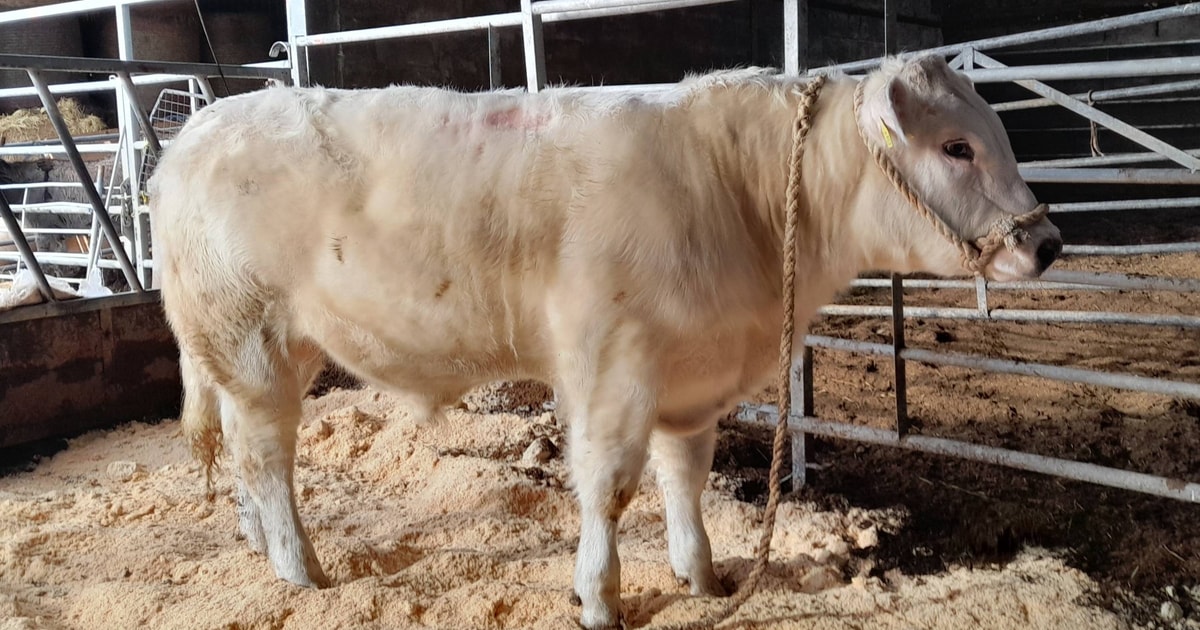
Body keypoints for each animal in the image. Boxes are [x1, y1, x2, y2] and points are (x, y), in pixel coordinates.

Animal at [148, 53, 1062, 629]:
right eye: (956, 146)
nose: (1047, 243)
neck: (738, 197)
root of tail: (196, 131)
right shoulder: (612, 366)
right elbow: (610, 487)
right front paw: (599, 597)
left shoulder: (691, 382)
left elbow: (684, 479)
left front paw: (702, 577)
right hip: (251, 343)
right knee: (267, 457)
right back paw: (301, 570)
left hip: (249, 354)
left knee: (243, 454)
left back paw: (259, 544)